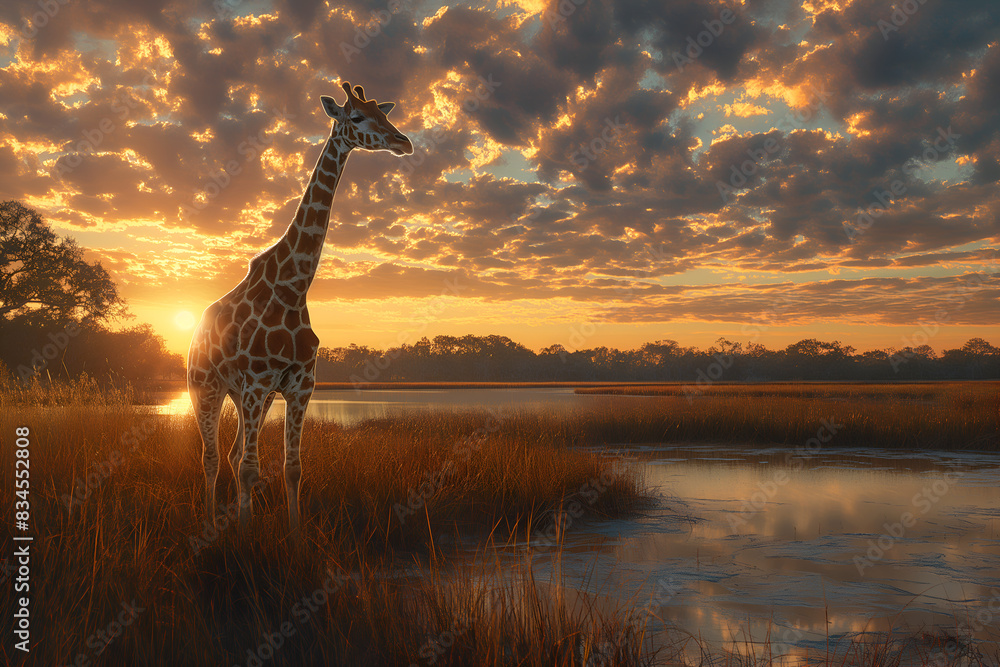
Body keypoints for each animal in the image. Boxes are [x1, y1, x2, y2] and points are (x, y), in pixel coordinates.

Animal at [187, 82, 412, 539]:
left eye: (383, 113)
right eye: (356, 117)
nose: (404, 142)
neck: (294, 287)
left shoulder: (299, 385)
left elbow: (291, 468)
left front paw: (293, 536)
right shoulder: (258, 382)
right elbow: (250, 468)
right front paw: (246, 536)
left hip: (243, 395)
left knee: (232, 454)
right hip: (204, 387)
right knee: (212, 458)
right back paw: (210, 522)